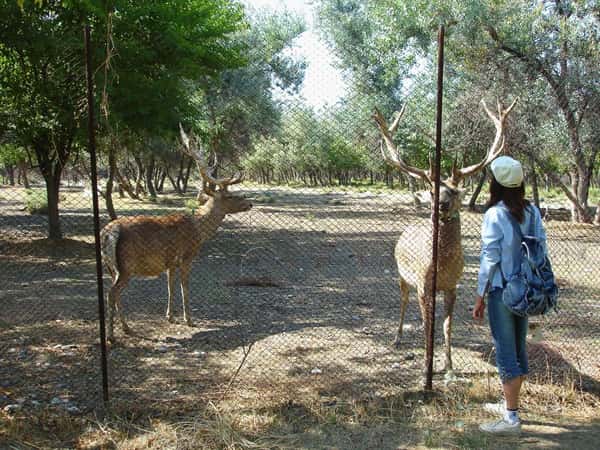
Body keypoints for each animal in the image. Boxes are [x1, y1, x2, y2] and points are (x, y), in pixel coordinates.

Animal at [102, 125, 252, 342]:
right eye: (231, 196)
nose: (249, 203)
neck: (199, 230)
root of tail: (109, 232)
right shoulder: (187, 256)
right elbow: (184, 286)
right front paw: (189, 319)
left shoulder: (170, 262)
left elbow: (170, 286)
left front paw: (170, 317)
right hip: (127, 265)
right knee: (112, 293)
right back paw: (112, 335)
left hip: (111, 267)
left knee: (115, 292)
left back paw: (126, 328)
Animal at [370, 98, 516, 372]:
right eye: (432, 190)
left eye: (456, 191)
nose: (442, 204)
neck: (441, 267)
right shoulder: (423, 285)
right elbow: (428, 325)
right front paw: (427, 364)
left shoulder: (452, 285)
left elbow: (447, 326)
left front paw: (448, 364)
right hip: (402, 275)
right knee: (403, 302)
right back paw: (397, 338)